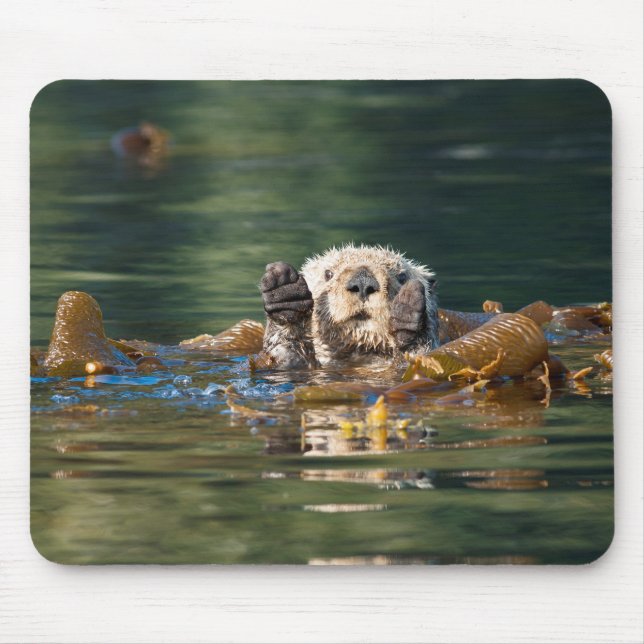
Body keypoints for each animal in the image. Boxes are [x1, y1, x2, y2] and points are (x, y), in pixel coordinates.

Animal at [260, 244, 439, 368]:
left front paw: (407, 312)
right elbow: (285, 353)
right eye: (328, 274)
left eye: (402, 276)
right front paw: (284, 291)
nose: (363, 281)